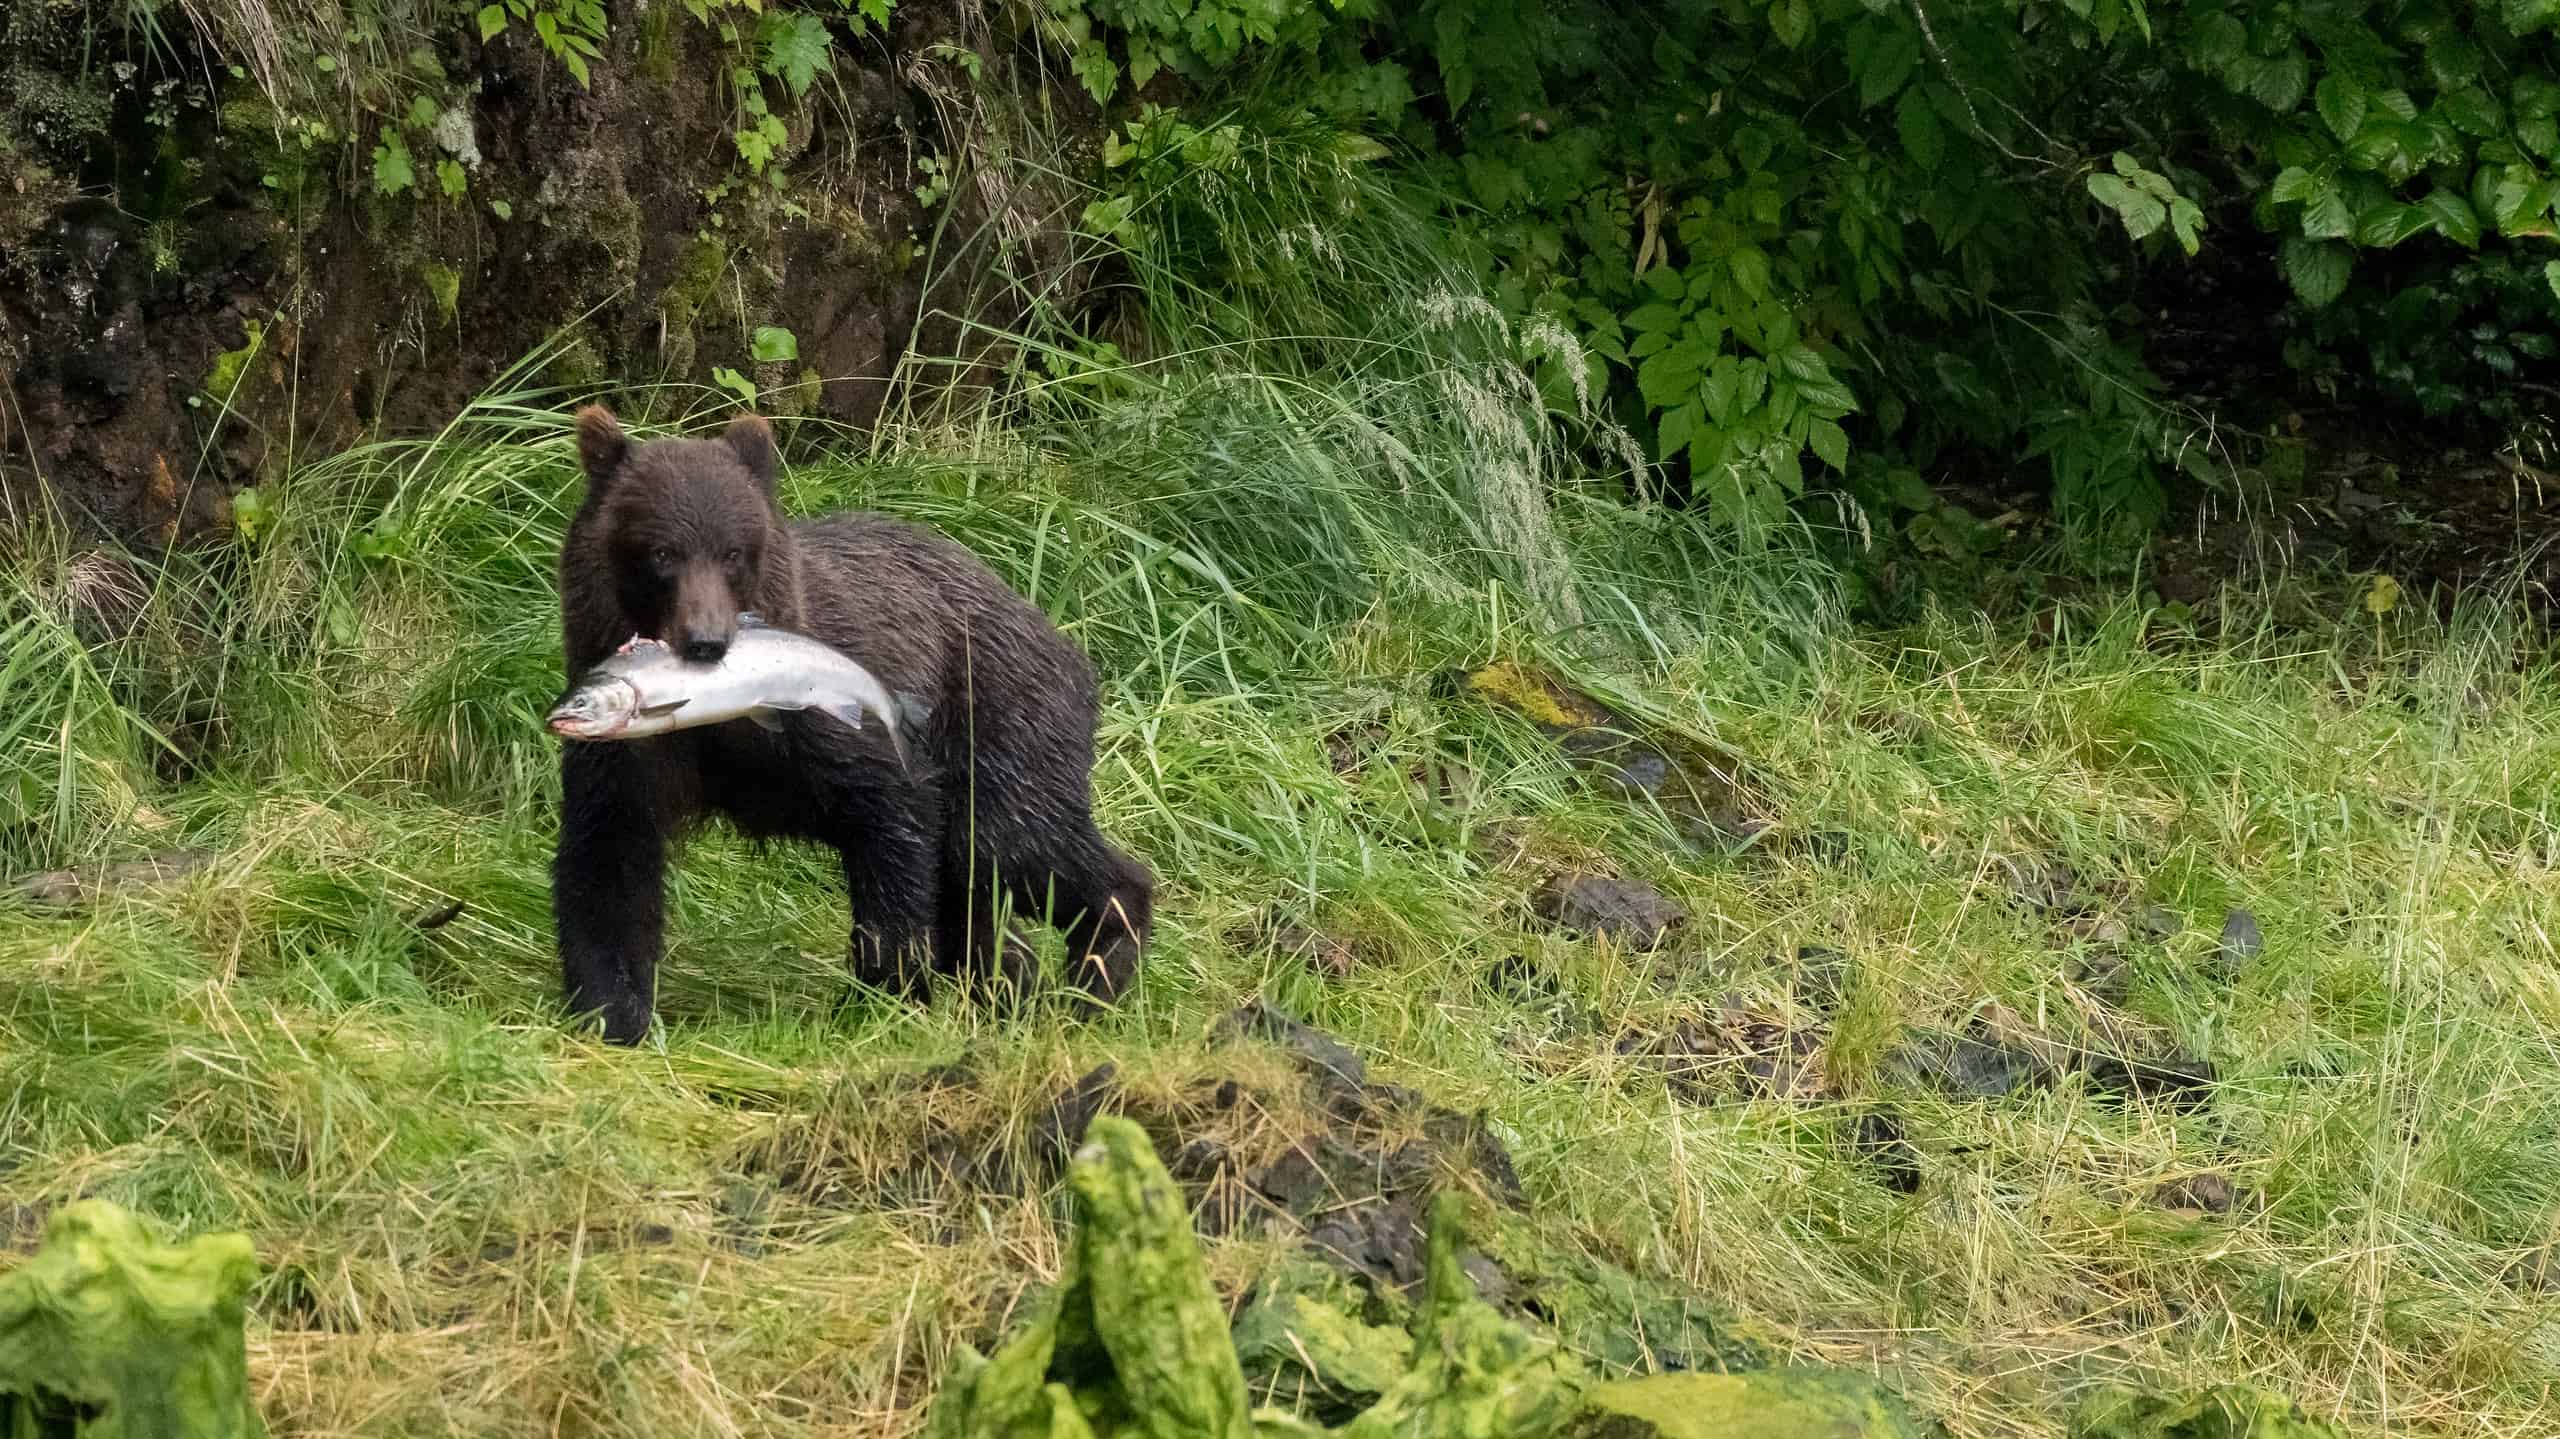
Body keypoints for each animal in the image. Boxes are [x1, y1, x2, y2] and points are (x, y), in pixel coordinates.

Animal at [549, 404, 1153, 1044]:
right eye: (661, 553)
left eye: (734, 552)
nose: (706, 640)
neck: (721, 719)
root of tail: (1062, 639)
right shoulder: (634, 753)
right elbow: (610, 861)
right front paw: (613, 1009)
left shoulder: (830, 722)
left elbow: (893, 821)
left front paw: (881, 992)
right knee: (976, 888)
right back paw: (1014, 984)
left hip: (1002, 714)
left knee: (1010, 842)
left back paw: (1099, 965)